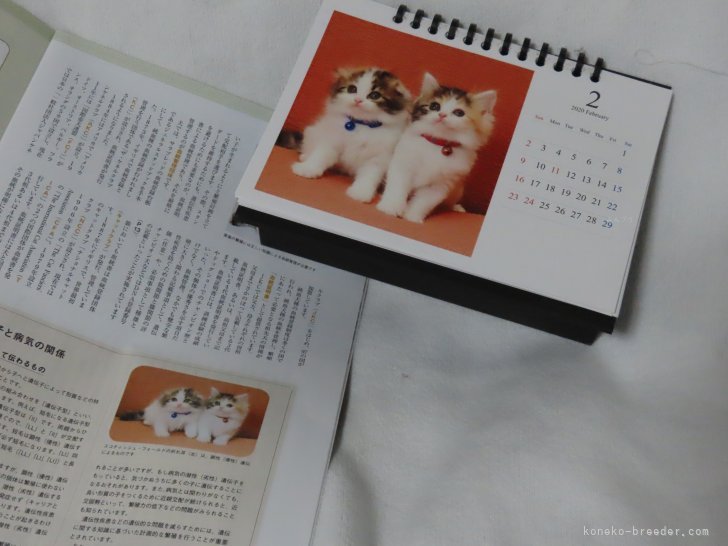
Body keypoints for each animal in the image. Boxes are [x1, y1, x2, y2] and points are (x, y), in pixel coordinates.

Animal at [291, 67, 412, 203]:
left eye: (375, 95)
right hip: (314, 131)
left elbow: (370, 174)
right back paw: (305, 156)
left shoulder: (379, 156)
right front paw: (307, 169)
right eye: (352, 89)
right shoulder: (332, 139)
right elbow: (320, 155)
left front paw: (361, 192)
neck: (361, 124)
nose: (358, 100)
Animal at [376, 72, 497, 223]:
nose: (442, 115)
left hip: (457, 190)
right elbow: (397, 188)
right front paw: (390, 208)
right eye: (434, 106)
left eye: (459, 113)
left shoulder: (442, 184)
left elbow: (423, 202)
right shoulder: (402, 165)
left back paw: (456, 207)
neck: (437, 143)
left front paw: (412, 217)